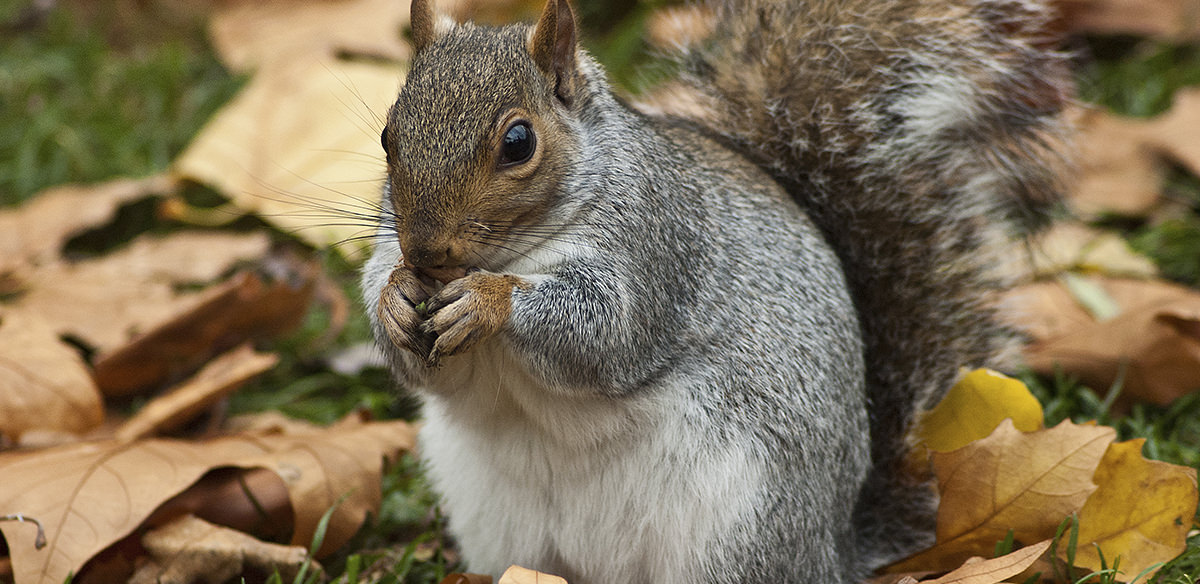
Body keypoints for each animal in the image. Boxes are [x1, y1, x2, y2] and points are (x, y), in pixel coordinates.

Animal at [357, 0, 1070, 582]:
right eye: (389, 135)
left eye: (518, 142)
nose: (426, 253)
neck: (517, 250)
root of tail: (832, 553)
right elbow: (428, 368)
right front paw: (393, 300)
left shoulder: (656, 248)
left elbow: (603, 331)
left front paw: (489, 301)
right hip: (497, 520)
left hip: (738, 520)